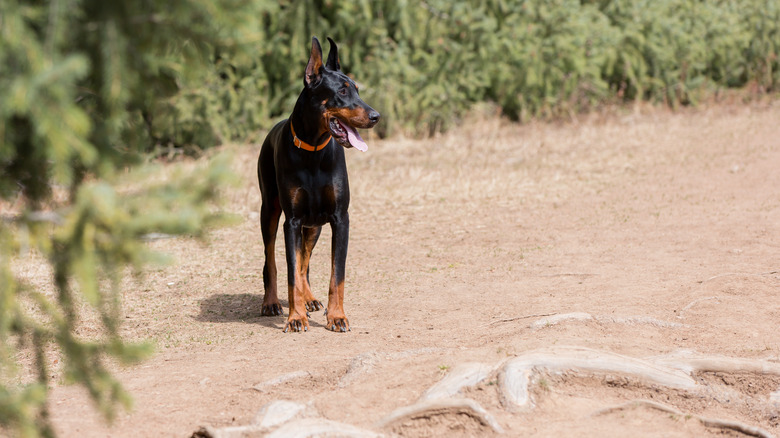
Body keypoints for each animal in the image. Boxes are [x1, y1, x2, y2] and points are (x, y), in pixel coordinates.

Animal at [258, 37, 380, 332]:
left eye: (357, 89)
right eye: (342, 91)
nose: (376, 116)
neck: (313, 151)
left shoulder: (340, 218)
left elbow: (336, 274)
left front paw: (336, 316)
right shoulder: (291, 221)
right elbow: (290, 272)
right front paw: (295, 317)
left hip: (314, 225)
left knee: (304, 262)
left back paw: (309, 298)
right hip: (270, 211)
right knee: (272, 260)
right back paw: (271, 302)